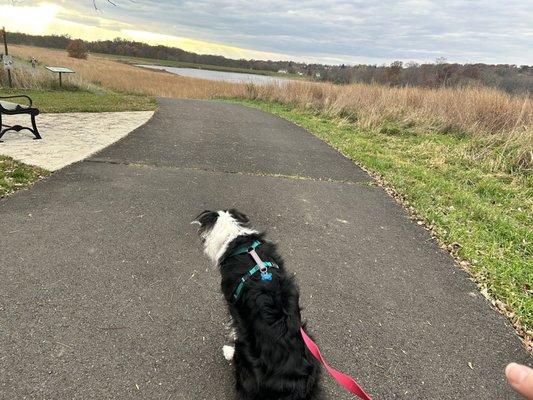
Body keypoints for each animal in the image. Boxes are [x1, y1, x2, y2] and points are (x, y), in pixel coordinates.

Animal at [194, 211, 322, 398]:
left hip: (245, 356)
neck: (238, 239)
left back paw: (228, 352)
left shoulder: (233, 306)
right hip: (310, 344)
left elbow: (234, 326)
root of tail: (296, 384)